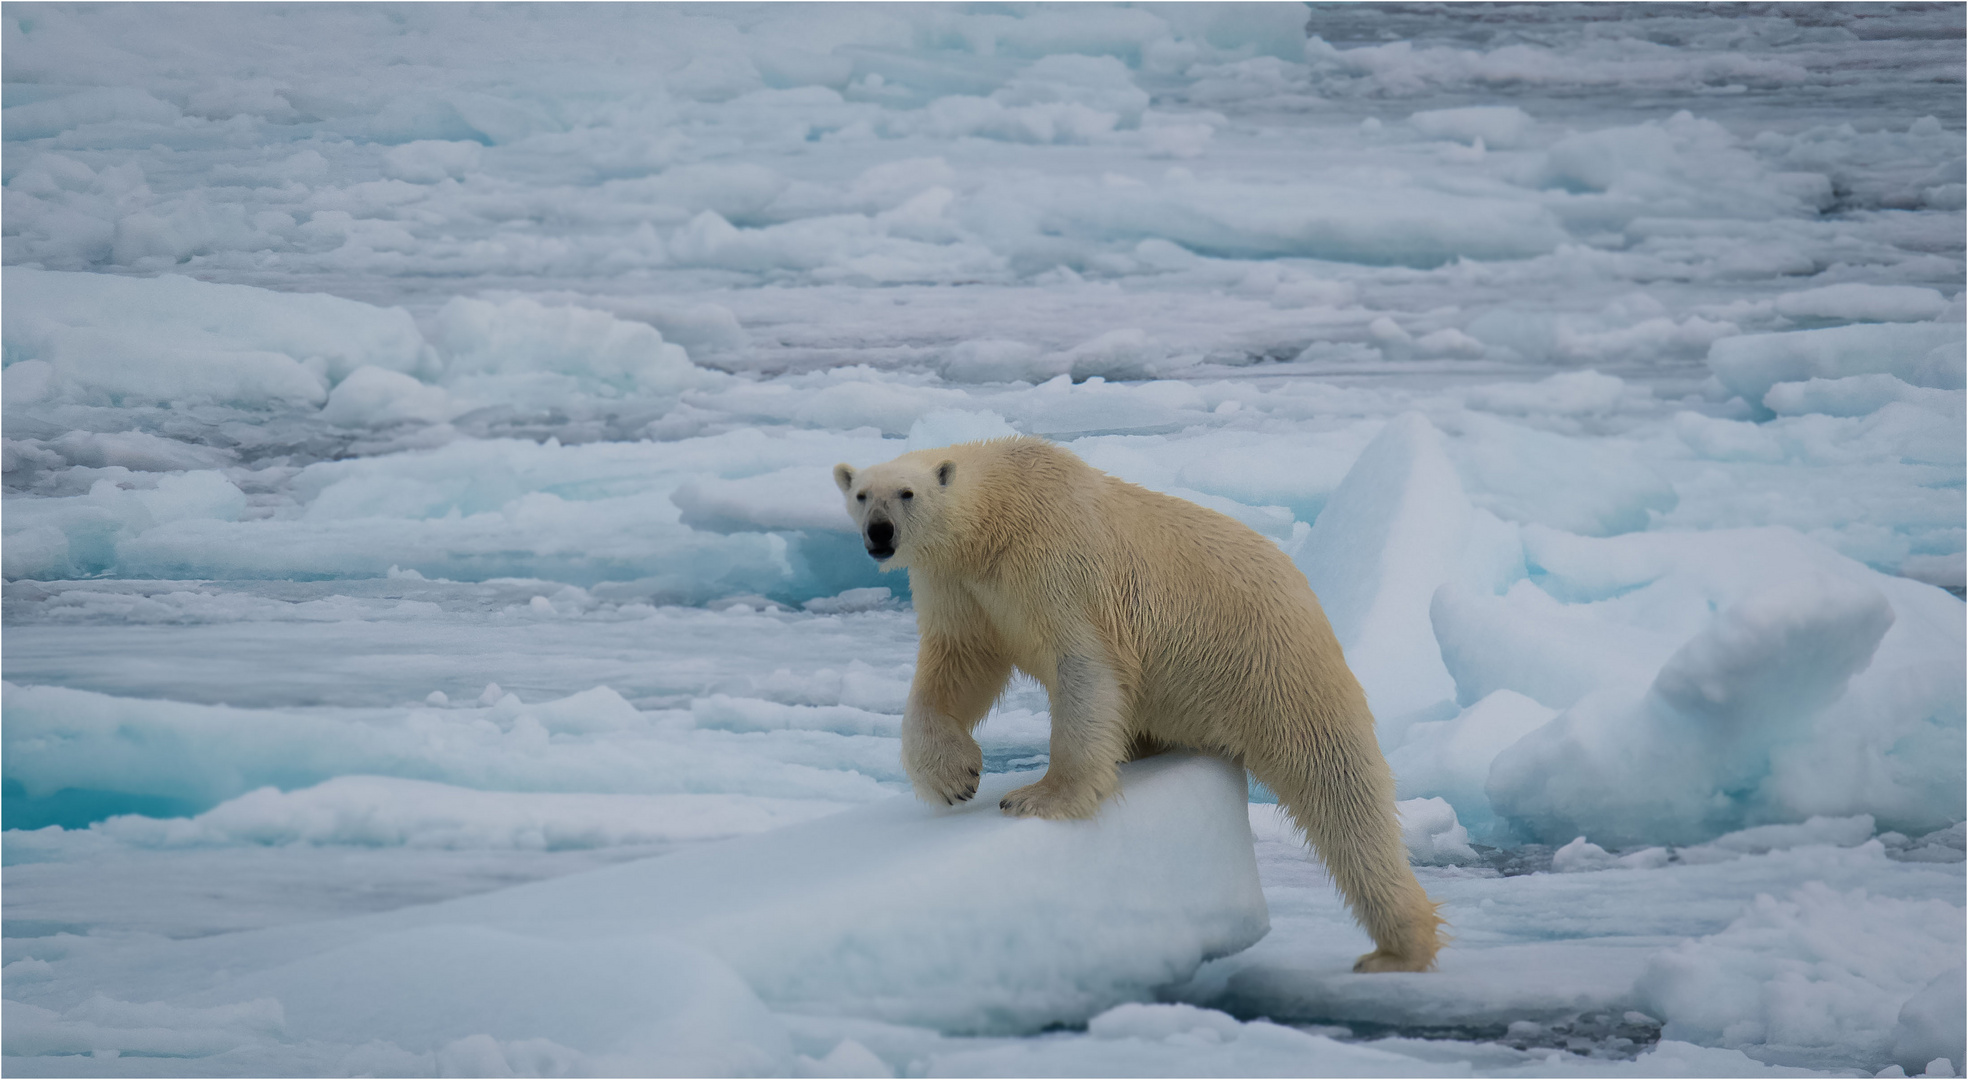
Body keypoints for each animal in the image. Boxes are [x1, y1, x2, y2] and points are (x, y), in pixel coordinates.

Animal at [830, 432, 1448, 971]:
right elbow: (957, 667)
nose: (879, 532)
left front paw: (1038, 798)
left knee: (1338, 786)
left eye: (907, 493)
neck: (996, 516)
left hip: (1271, 667)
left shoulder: (1056, 560)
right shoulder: (959, 585)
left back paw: (1397, 949)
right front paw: (953, 777)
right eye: (861, 495)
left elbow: (1084, 666)